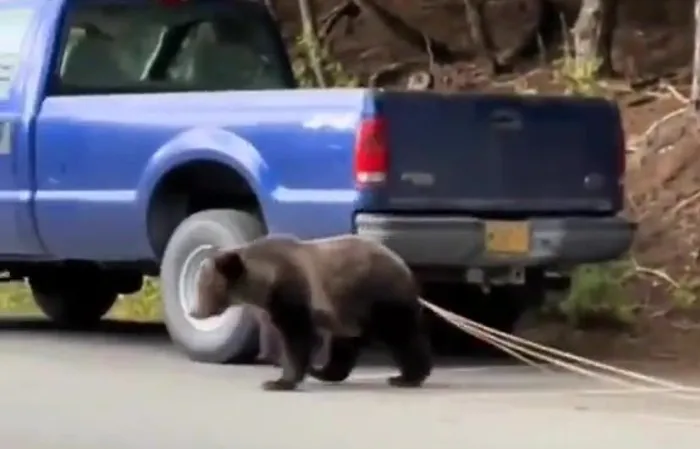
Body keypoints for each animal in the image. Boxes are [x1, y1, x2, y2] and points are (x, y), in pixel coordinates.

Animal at [189, 234, 433, 392]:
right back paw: (324, 372)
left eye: (204, 287)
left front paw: (279, 382)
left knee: (401, 334)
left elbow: (296, 337)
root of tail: (405, 268)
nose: (194, 311)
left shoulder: (291, 291)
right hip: (348, 312)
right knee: (345, 345)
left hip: (377, 296)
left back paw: (407, 377)